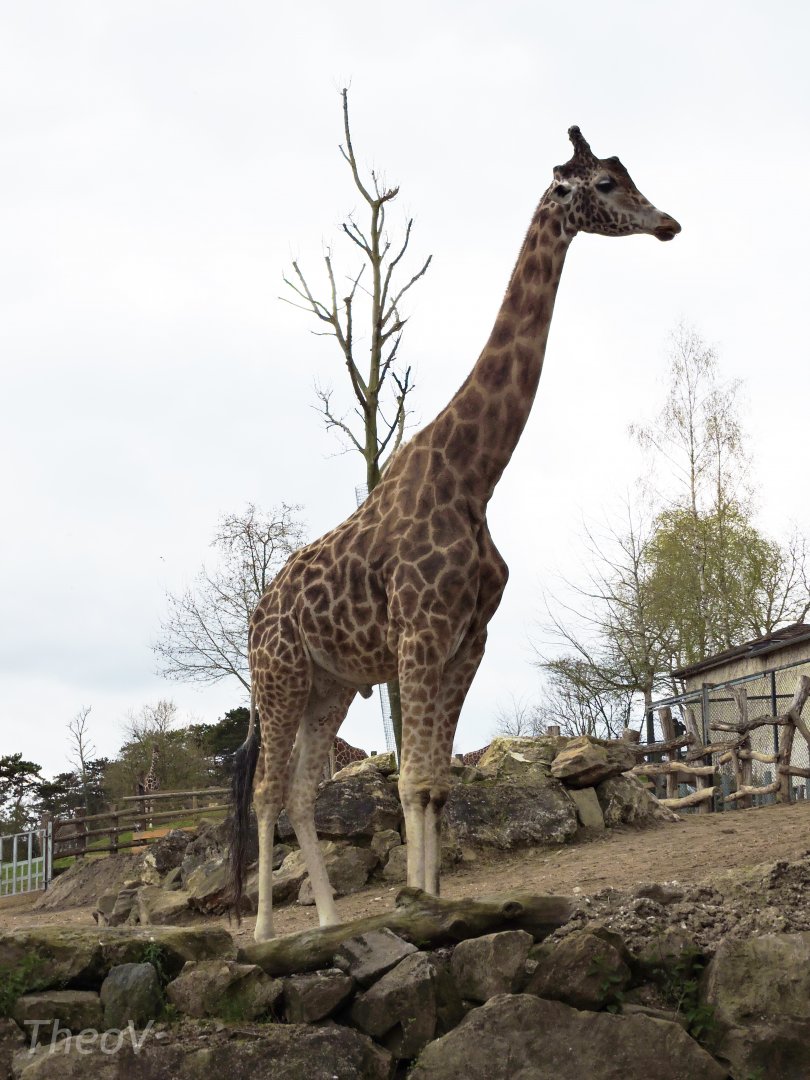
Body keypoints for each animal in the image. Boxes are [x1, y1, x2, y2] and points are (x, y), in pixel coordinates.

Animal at [229, 126, 680, 941]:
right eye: (603, 182)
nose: (668, 222)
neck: (476, 477)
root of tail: (255, 614)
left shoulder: (469, 639)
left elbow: (437, 784)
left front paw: (436, 906)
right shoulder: (419, 632)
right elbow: (410, 782)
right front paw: (414, 910)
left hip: (328, 685)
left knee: (305, 792)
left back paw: (328, 922)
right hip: (278, 676)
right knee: (267, 792)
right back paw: (267, 936)